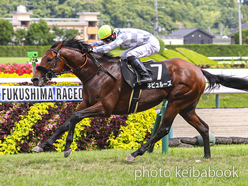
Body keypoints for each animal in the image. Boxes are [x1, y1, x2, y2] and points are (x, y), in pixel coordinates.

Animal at [31, 37, 248, 161]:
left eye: (49, 59)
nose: (35, 79)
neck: (97, 72)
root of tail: (198, 70)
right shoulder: (87, 103)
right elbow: (67, 120)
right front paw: (43, 145)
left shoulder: (105, 108)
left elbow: (75, 117)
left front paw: (66, 148)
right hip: (187, 107)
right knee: (203, 127)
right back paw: (206, 156)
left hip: (176, 102)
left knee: (163, 129)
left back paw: (135, 153)